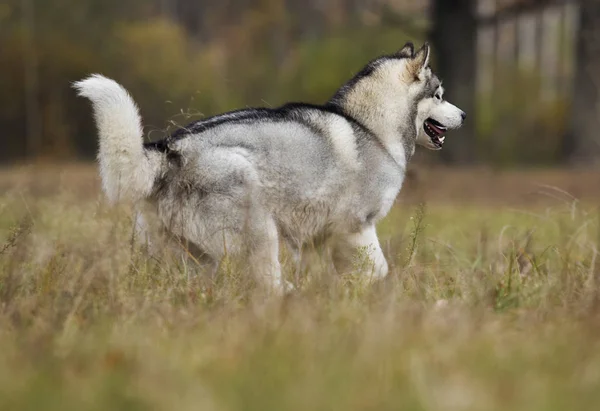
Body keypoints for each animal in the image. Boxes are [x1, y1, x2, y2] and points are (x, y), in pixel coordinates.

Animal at [74, 42, 464, 292]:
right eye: (440, 95)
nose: (463, 115)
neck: (369, 127)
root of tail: (171, 149)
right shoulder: (357, 227)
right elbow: (380, 271)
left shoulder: (328, 239)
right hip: (259, 226)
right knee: (266, 281)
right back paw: (289, 297)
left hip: (178, 251)